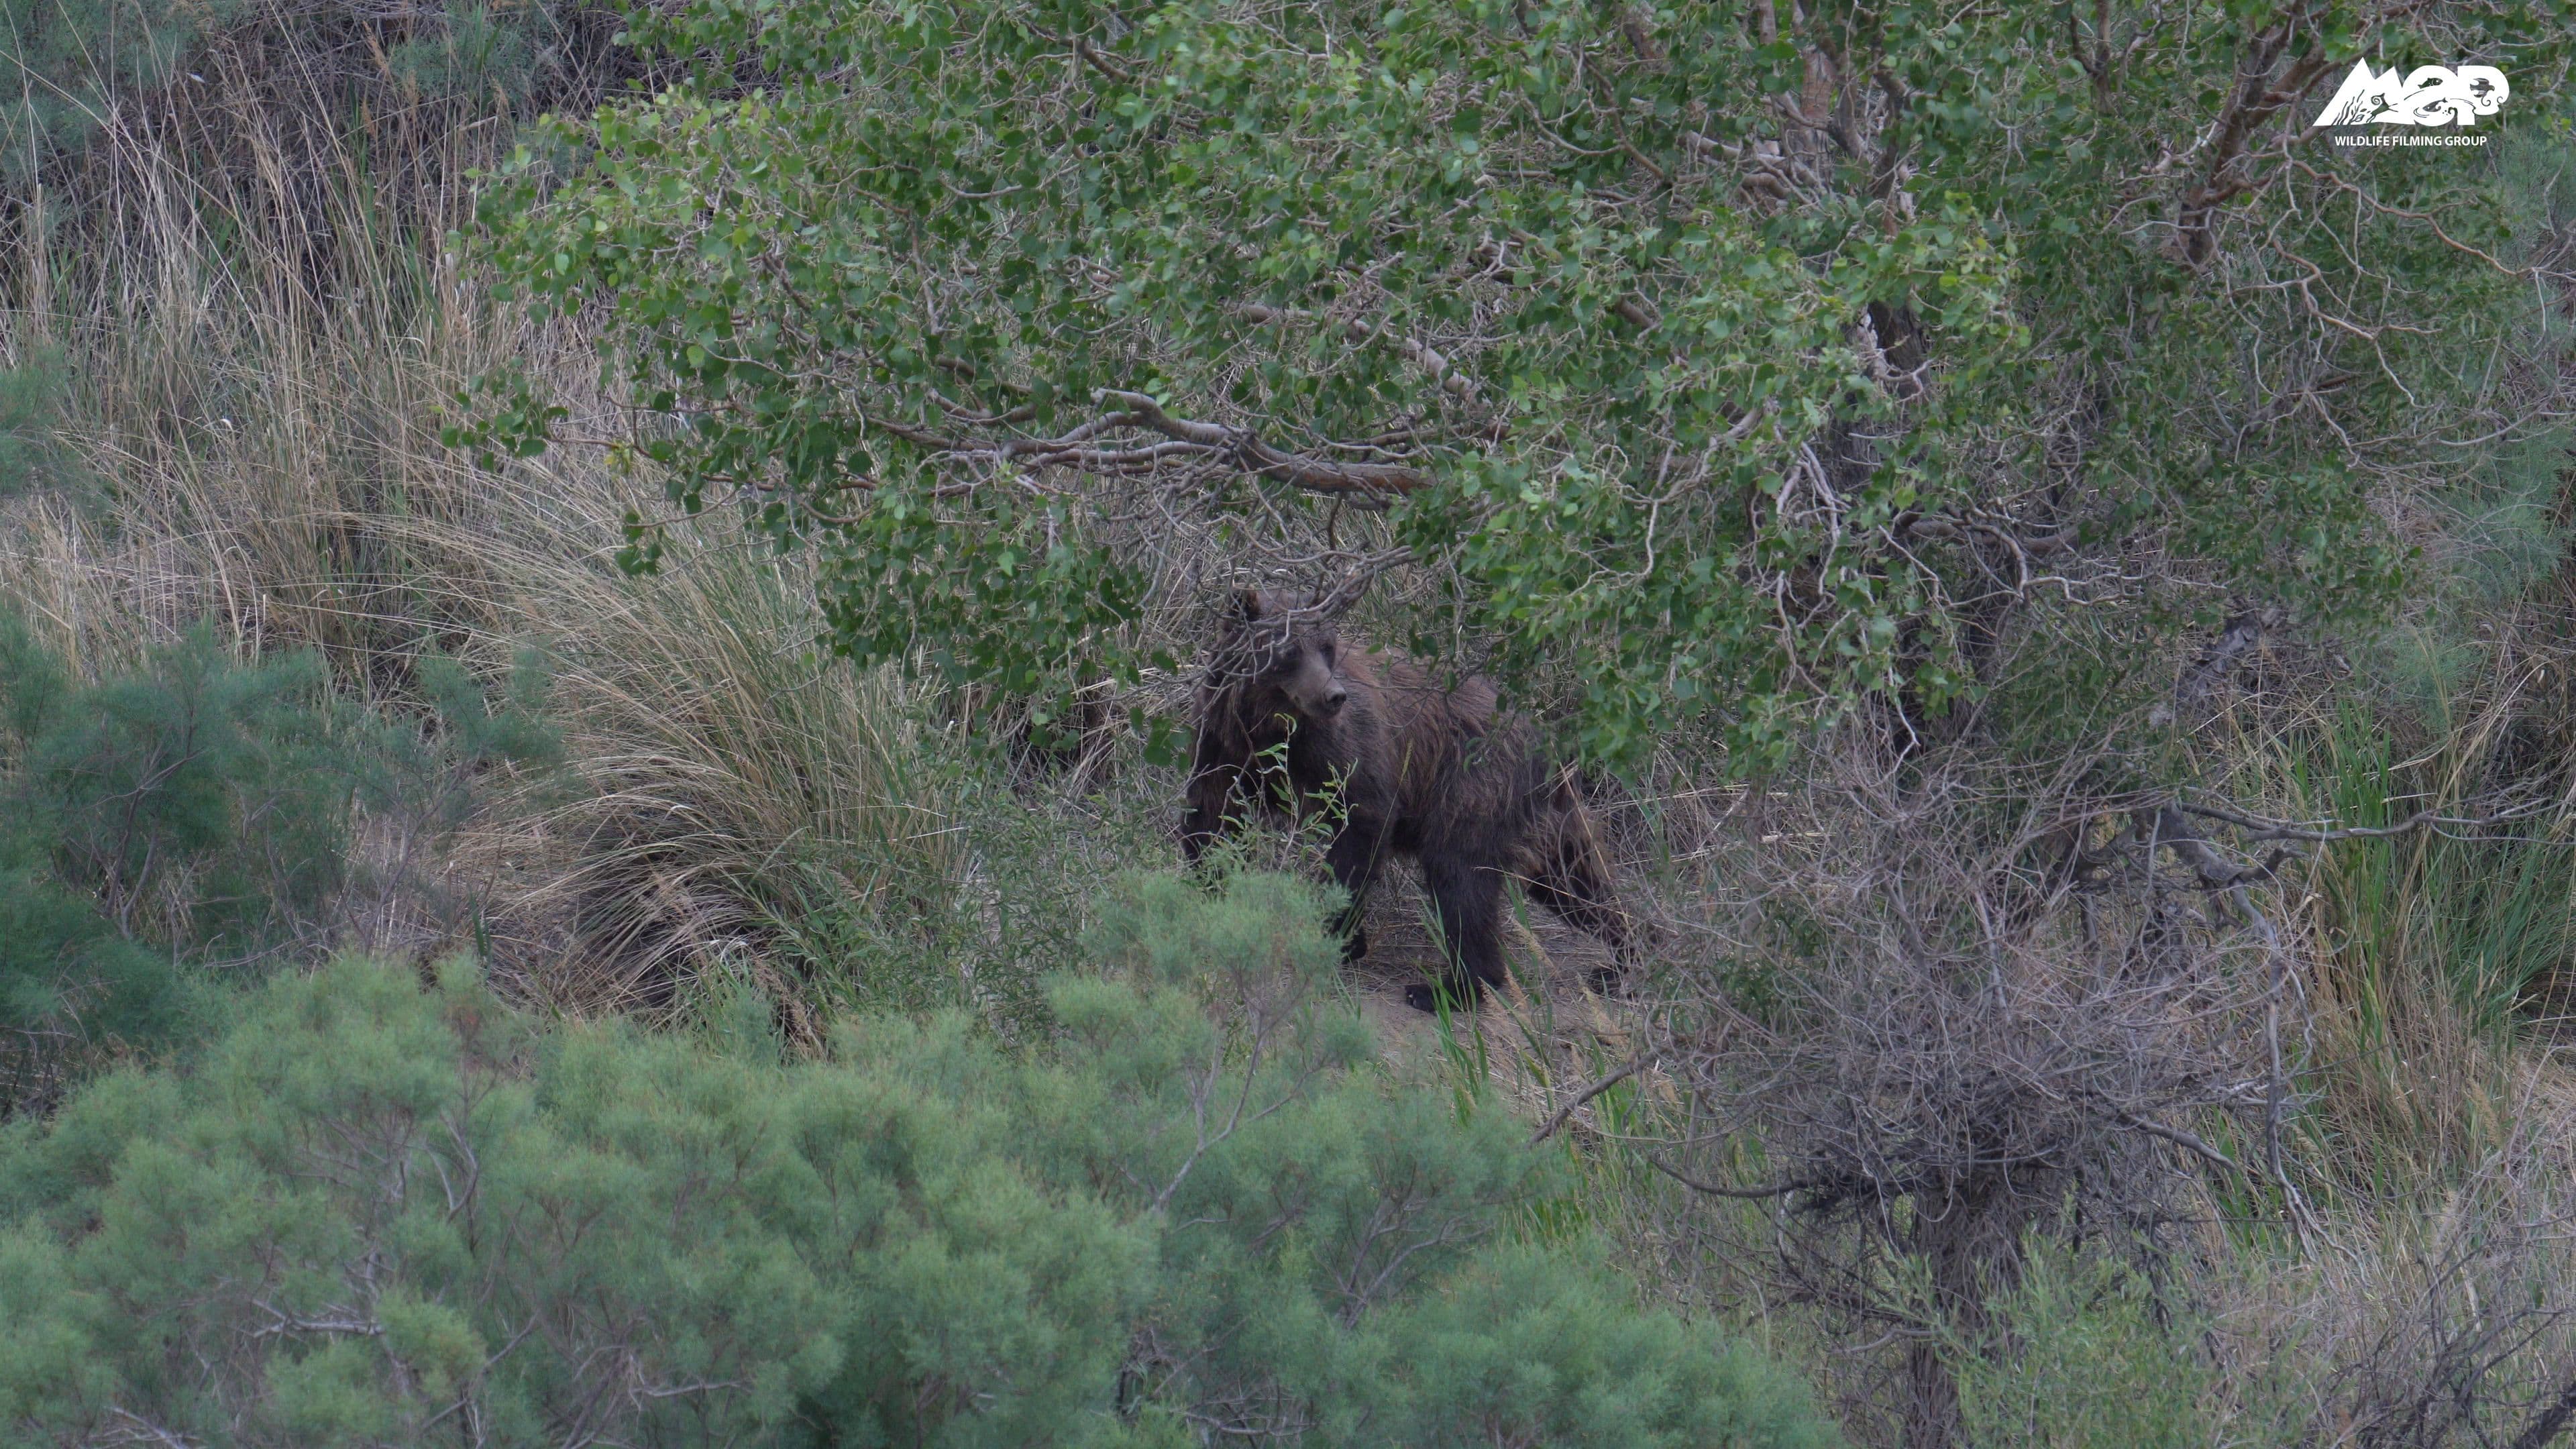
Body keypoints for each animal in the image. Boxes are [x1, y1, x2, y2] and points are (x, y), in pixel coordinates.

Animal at [1181, 588, 1634, 1011]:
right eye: (1289, 649)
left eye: (1327, 646)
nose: (1333, 694)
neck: (1268, 725)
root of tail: (1545, 739)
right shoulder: (1224, 741)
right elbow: (1212, 816)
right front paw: (1207, 892)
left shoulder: (1343, 749)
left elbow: (1362, 822)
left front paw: (1335, 934)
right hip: (1537, 814)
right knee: (1575, 880)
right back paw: (1625, 958)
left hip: (1470, 785)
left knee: (1460, 879)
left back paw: (1446, 989)